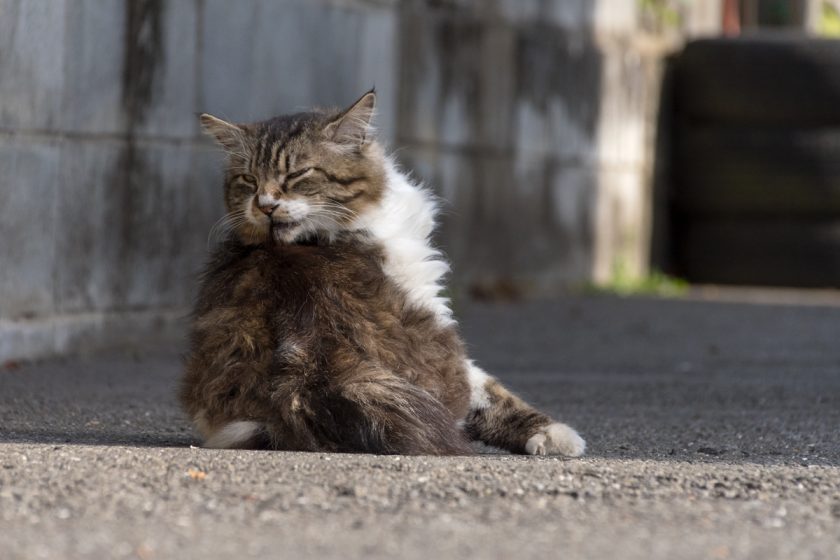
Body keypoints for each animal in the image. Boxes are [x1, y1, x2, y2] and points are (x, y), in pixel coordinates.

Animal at [179, 89, 584, 458]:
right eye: (248, 179)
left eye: (297, 175)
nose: (264, 205)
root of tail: (310, 361)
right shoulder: (432, 305)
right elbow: (496, 394)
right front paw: (556, 435)